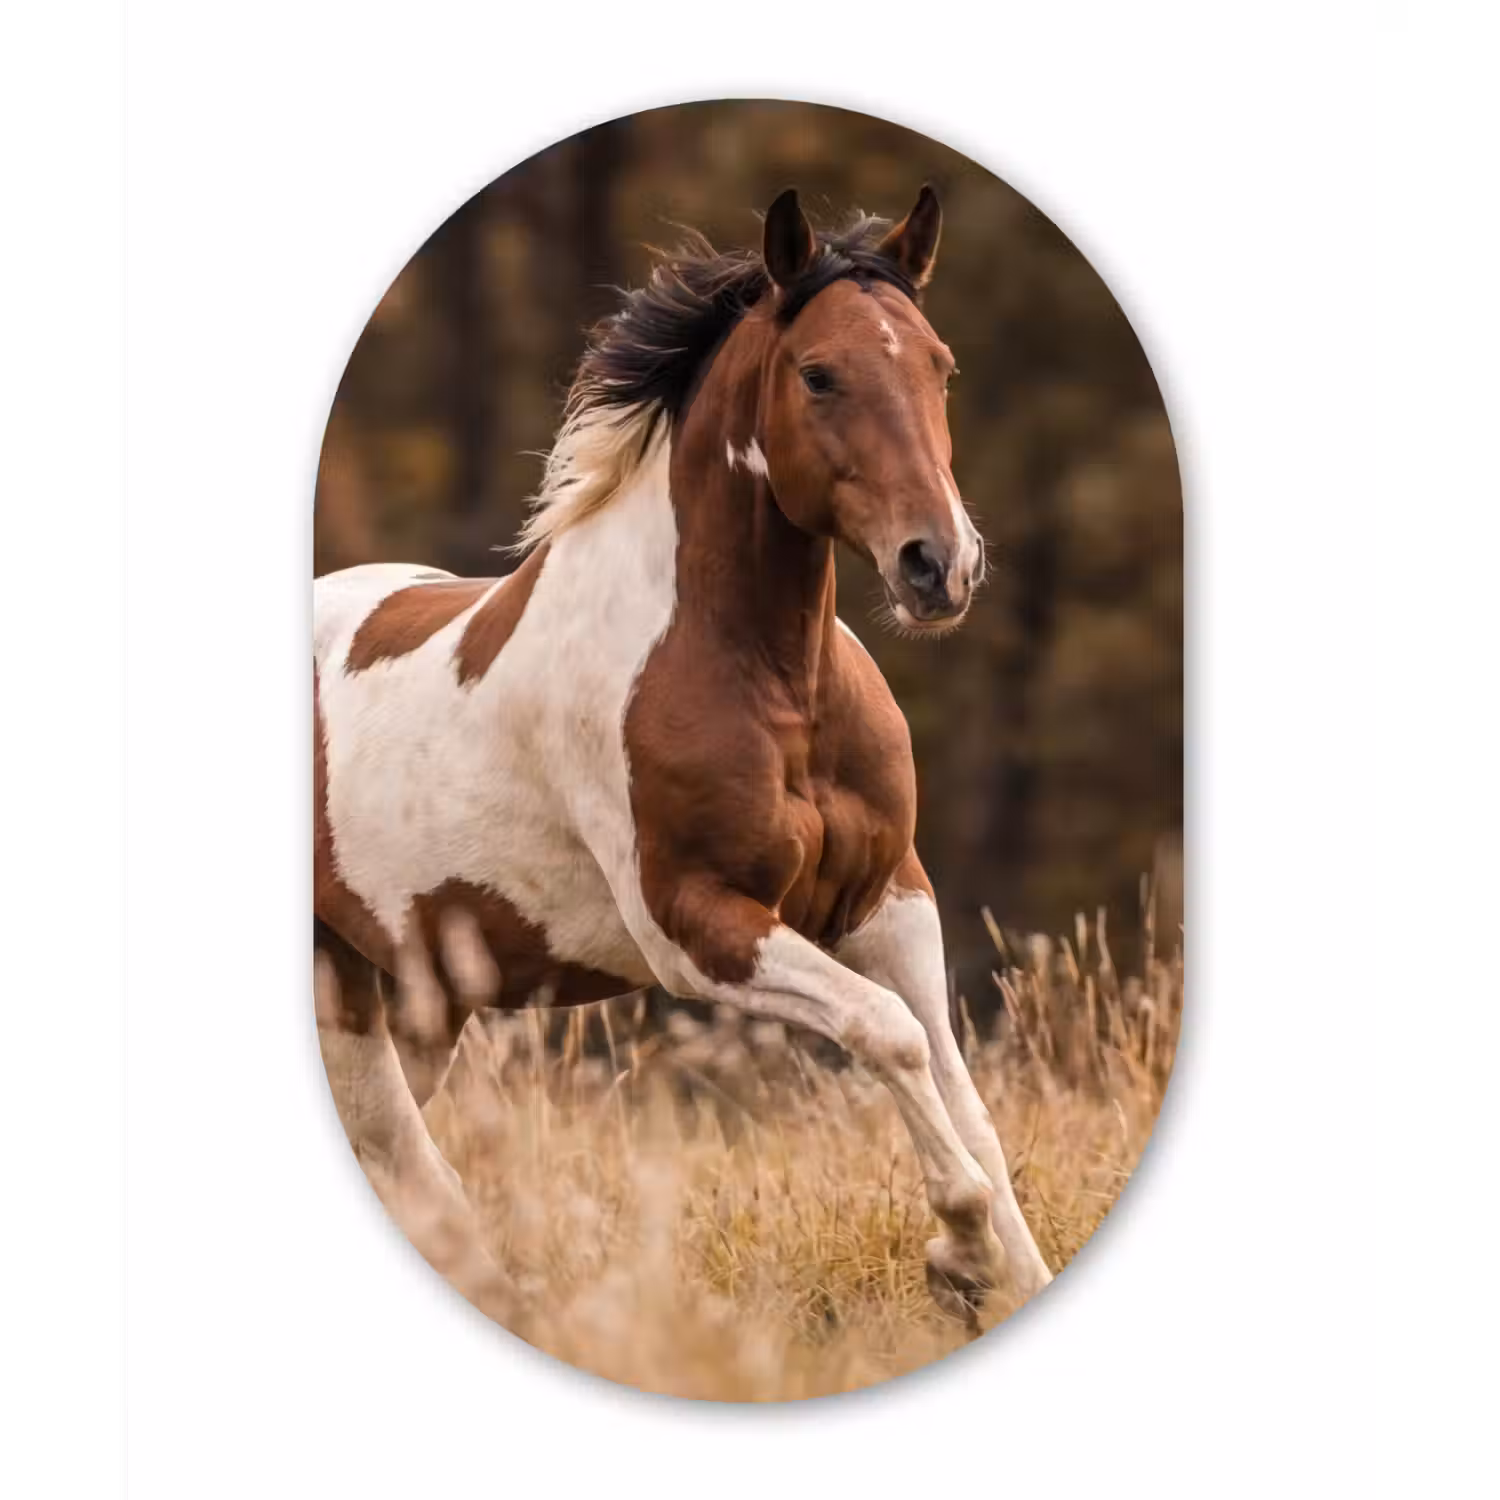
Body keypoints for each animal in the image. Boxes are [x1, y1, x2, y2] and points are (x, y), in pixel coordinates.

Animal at [313, 185, 1055, 1334]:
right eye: (818, 373)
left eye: (941, 365)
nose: (940, 565)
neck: (769, 680)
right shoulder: (696, 928)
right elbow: (887, 1034)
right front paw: (959, 1254)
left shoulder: (891, 899)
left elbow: (956, 1083)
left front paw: (1010, 1273)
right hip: (341, 988)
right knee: (404, 1156)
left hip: (413, 998)